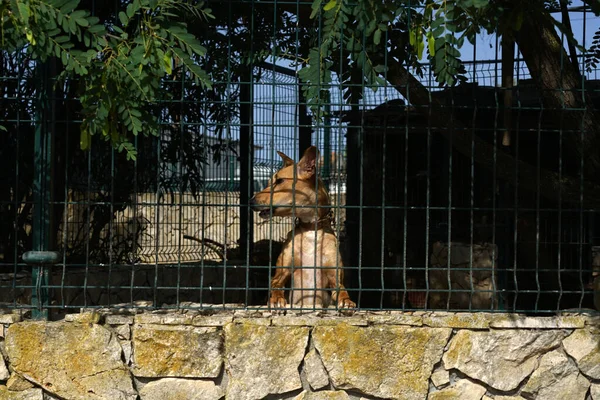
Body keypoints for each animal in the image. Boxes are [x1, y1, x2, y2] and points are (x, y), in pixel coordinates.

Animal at [250, 145, 356, 310]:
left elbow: (342, 290)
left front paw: (346, 301)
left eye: (279, 181)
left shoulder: (335, 276)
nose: (251, 201)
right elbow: (276, 285)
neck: (311, 229)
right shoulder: (281, 273)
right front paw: (276, 300)